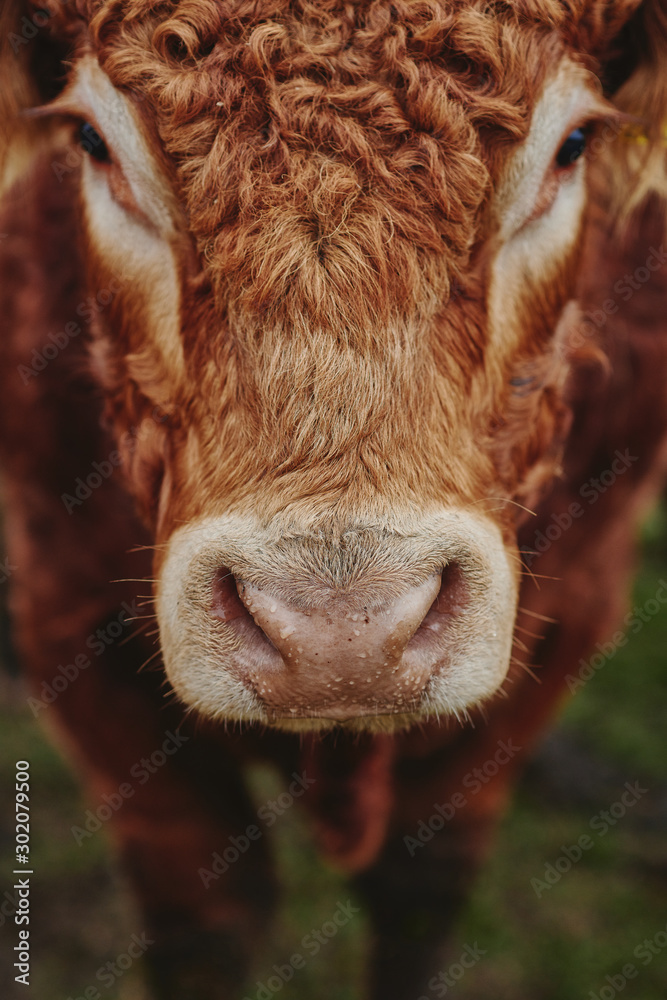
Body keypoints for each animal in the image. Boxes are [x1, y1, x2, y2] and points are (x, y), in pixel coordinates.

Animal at [1, 0, 666, 997]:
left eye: (575, 144)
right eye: (88, 140)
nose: (337, 635)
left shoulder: (578, 602)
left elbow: (419, 888)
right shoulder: (62, 603)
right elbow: (208, 918)